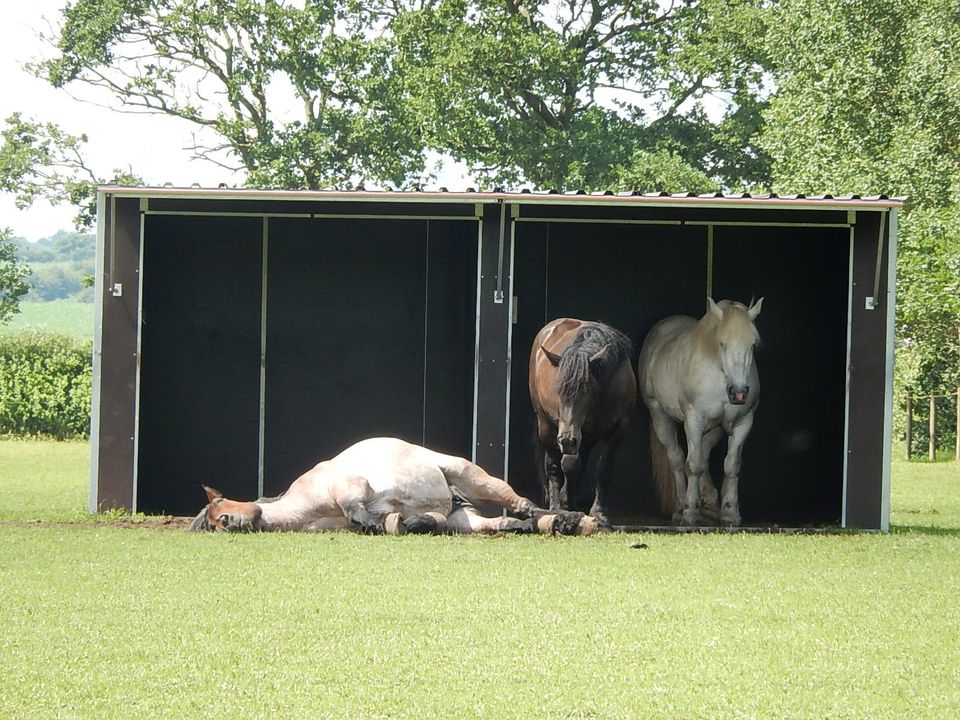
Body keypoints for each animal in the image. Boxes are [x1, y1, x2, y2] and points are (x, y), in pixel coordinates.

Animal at [524, 318, 636, 524]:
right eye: (558, 390)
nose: (566, 440)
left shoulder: (618, 429)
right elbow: (568, 465)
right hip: (547, 426)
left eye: (587, 390)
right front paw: (565, 503)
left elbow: (603, 468)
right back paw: (556, 506)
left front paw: (599, 513)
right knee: (553, 465)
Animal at [636, 296, 764, 524]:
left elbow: (732, 465)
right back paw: (680, 507)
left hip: (715, 429)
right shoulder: (693, 420)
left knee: (704, 453)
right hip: (660, 417)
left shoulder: (743, 422)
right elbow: (693, 465)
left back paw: (710, 504)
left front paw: (730, 512)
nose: (739, 393)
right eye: (722, 343)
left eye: (752, 344)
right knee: (677, 460)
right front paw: (690, 512)